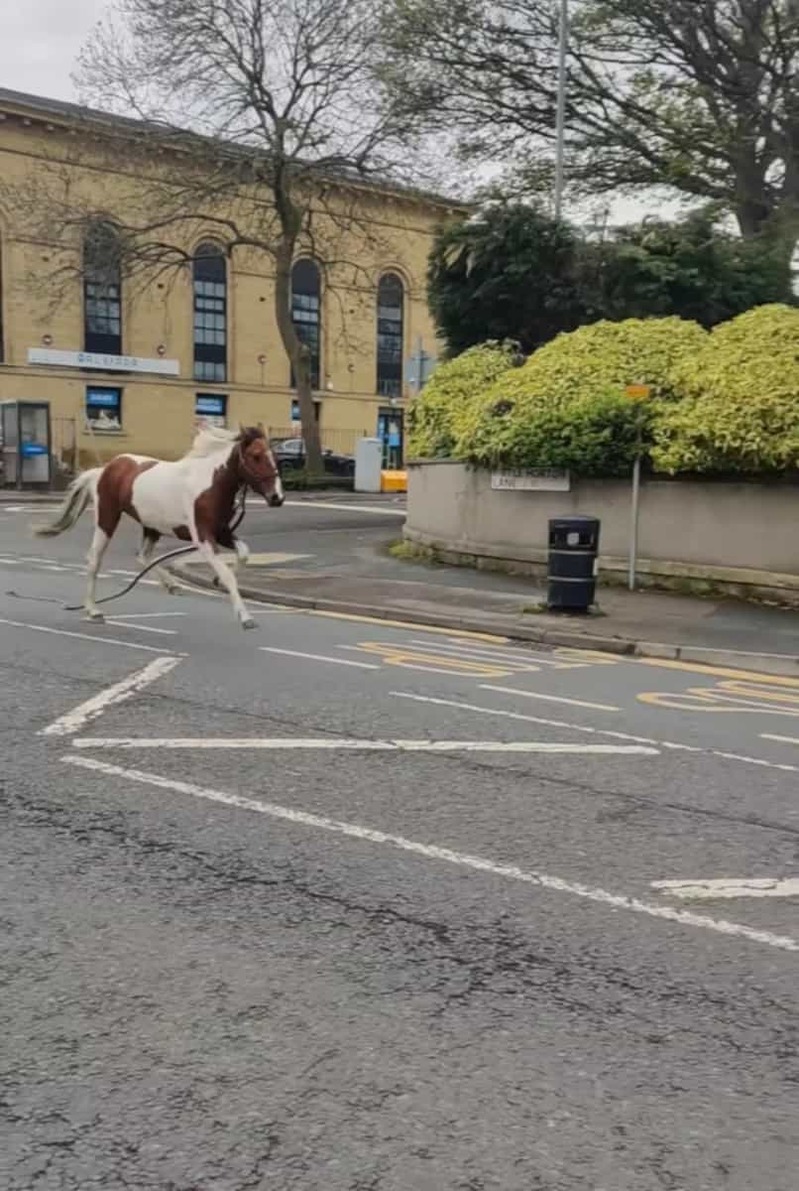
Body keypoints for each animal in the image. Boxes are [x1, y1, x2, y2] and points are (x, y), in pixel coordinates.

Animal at [34, 426, 284, 633]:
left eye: (275, 457)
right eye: (256, 456)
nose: (277, 498)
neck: (210, 484)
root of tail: (105, 469)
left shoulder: (222, 532)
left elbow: (244, 553)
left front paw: (215, 581)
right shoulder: (203, 537)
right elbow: (227, 573)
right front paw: (246, 617)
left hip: (152, 526)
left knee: (142, 556)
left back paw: (172, 585)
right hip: (108, 517)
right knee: (95, 559)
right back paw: (94, 611)